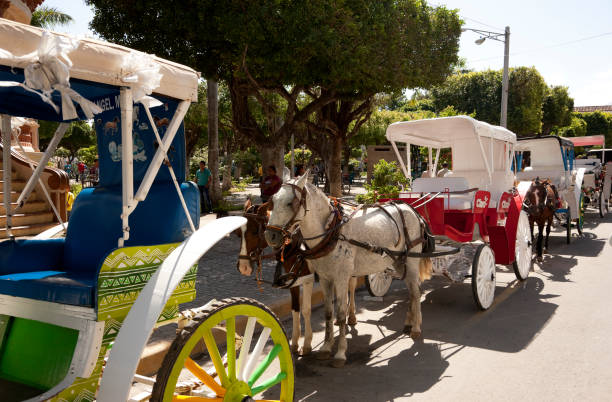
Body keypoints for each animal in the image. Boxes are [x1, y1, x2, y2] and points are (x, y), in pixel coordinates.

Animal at [266, 173, 432, 368]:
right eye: (272, 201)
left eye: (291, 203)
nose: (270, 236)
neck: (331, 232)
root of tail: (411, 209)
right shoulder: (325, 279)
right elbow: (328, 313)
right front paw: (326, 348)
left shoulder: (341, 278)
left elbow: (341, 314)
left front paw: (340, 353)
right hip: (399, 262)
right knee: (411, 292)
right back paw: (408, 323)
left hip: (412, 261)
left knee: (416, 292)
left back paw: (416, 328)